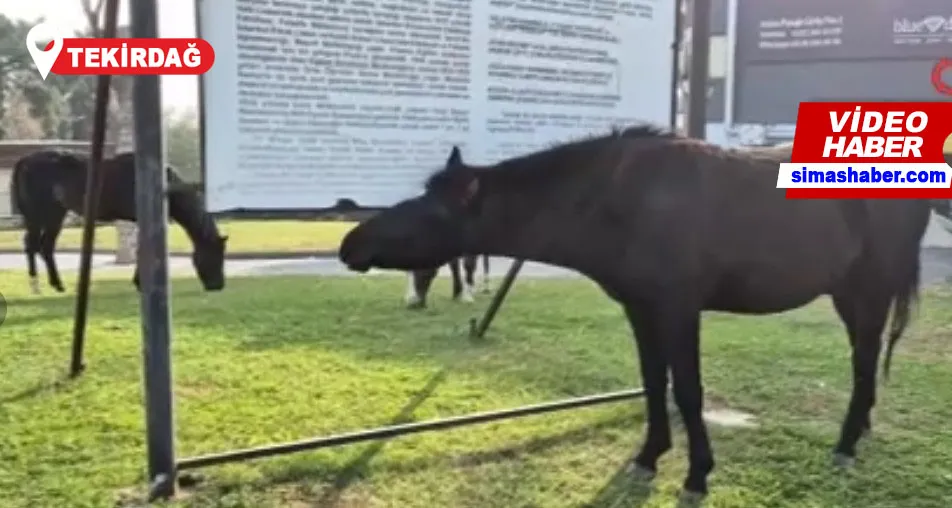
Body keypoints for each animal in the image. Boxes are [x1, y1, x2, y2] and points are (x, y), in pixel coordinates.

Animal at [10, 150, 228, 294]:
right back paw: (36, 286)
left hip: (56, 213)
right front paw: (139, 283)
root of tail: (24, 161)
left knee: (45, 246)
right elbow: (142, 250)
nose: (218, 286)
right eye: (214, 255)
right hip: (39, 213)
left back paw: (57, 284)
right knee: (32, 244)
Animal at [338, 126, 932, 496]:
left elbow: (687, 389)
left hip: (867, 290)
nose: (350, 243)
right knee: (865, 362)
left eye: (434, 208)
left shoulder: (678, 307)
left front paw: (697, 474)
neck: (623, 202)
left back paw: (846, 443)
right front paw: (650, 456)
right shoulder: (641, 310)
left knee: (863, 363)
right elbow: (652, 381)